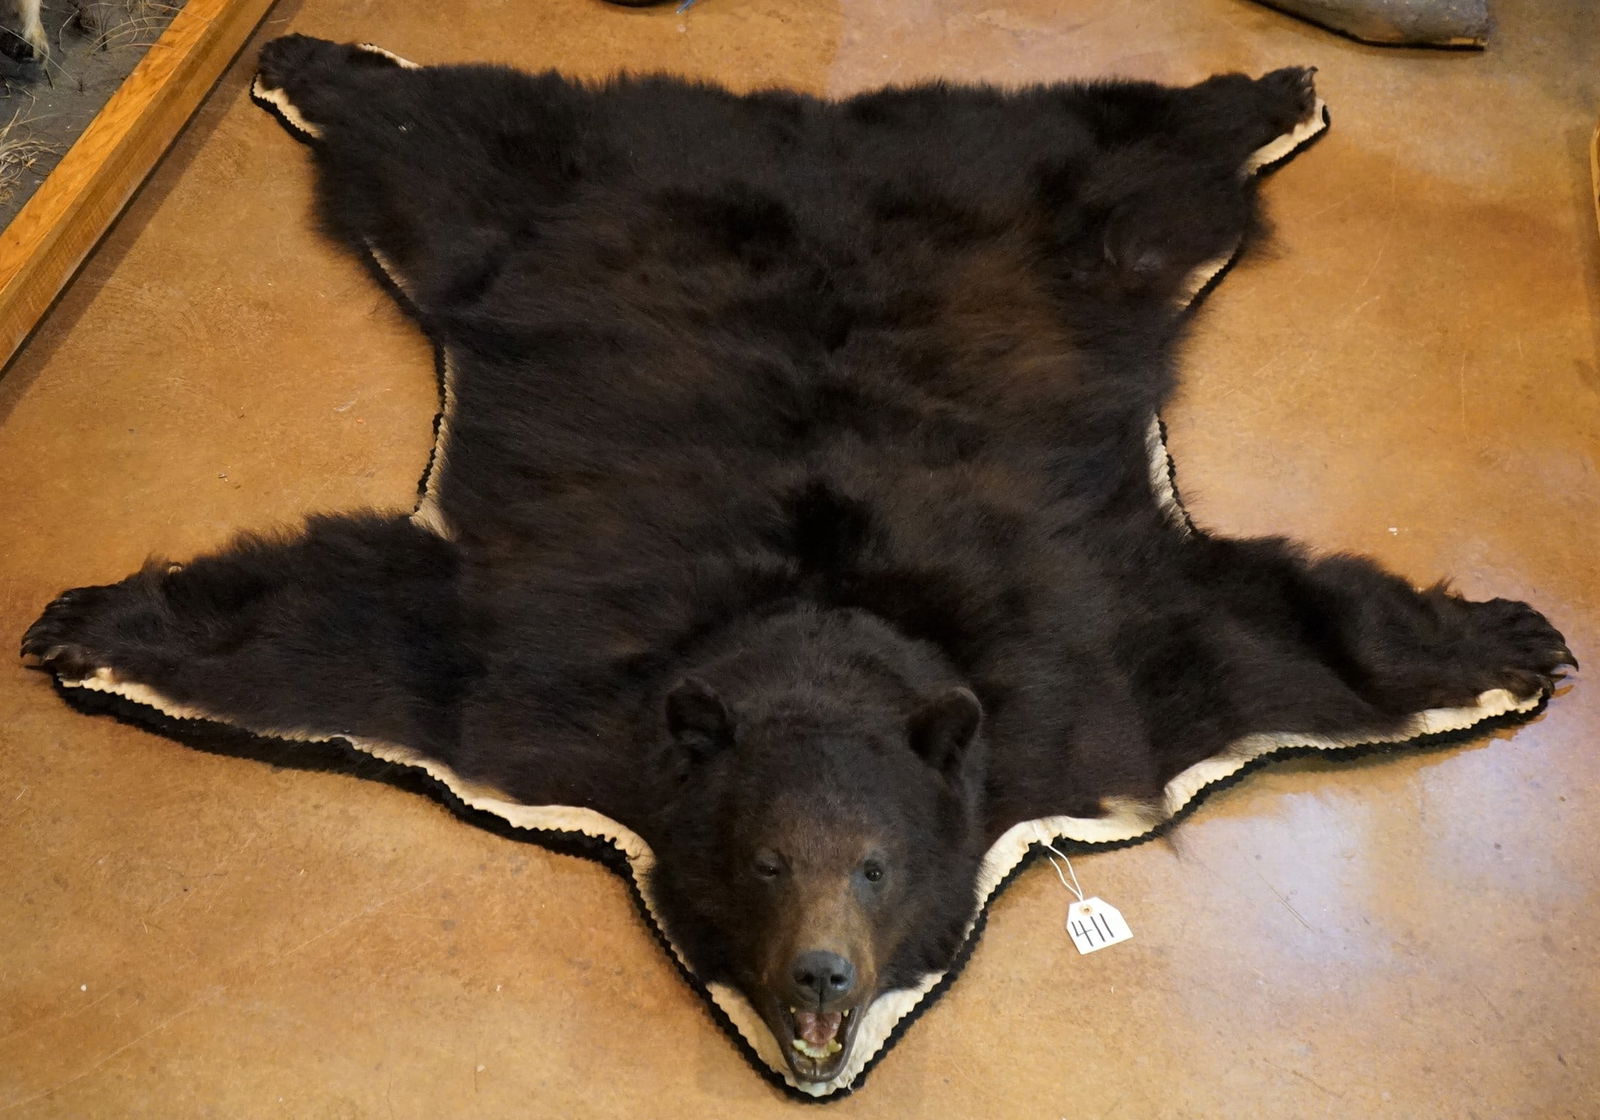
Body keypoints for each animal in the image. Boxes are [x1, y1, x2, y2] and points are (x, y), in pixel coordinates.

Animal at [21, 37, 1573, 1089]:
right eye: (766, 861)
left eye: (875, 867)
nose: (822, 975)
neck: (824, 625)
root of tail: (810, 134)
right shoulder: (529, 670)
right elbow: (337, 630)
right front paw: (88, 618)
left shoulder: (1100, 667)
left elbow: (1278, 636)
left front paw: (1517, 640)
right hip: (544, 202)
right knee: (441, 148)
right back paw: (311, 59)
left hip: (1067, 216)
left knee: (1150, 167)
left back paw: (1272, 91)